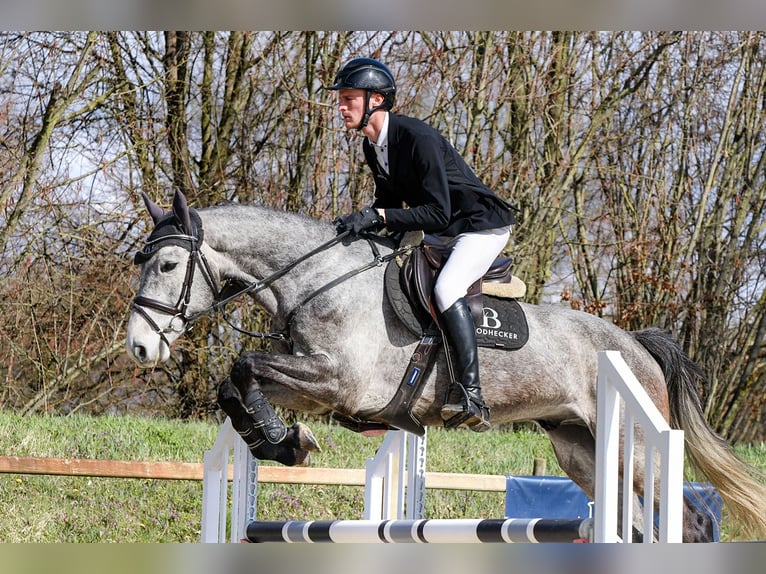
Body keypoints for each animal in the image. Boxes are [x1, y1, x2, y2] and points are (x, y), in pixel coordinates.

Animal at [125, 190, 766, 542]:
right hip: (581, 449)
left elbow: (244, 366)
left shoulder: (336, 382)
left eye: (167, 264)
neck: (315, 280)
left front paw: (288, 442)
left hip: (634, 449)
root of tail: (634, 345)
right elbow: (234, 382)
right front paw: (277, 441)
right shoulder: (314, 382)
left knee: (691, 522)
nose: (139, 347)